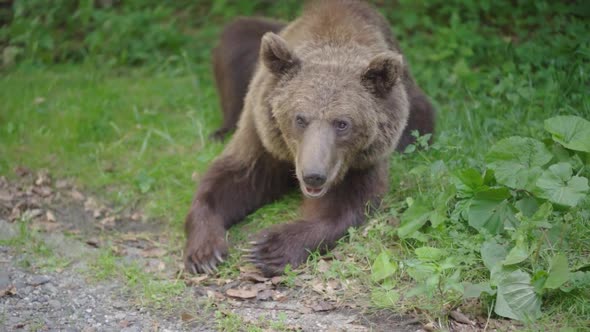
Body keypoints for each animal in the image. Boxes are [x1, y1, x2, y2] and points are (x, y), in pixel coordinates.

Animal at [187, 0, 438, 278]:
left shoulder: (360, 160)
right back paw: (221, 131)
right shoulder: (263, 133)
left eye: (342, 123)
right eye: (300, 118)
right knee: (235, 38)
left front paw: (270, 249)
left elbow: (346, 205)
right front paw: (205, 253)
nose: (313, 176)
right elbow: (232, 177)